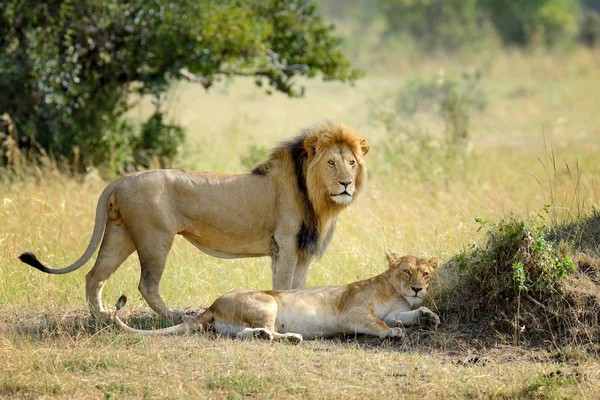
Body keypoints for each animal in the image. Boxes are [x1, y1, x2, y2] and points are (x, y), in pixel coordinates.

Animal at [18, 122, 370, 318]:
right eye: (331, 163)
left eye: (352, 163)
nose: (346, 184)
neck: (316, 197)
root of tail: (123, 179)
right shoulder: (283, 244)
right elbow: (284, 285)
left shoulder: (302, 249)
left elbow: (300, 286)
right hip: (154, 238)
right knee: (146, 284)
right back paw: (172, 316)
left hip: (120, 235)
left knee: (94, 276)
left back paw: (101, 316)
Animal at [113, 253, 440, 340]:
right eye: (407, 272)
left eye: (425, 274)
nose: (418, 289)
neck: (394, 291)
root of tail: (213, 304)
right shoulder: (352, 313)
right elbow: (380, 324)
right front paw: (393, 333)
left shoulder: (396, 310)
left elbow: (404, 316)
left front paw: (428, 316)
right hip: (267, 302)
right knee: (270, 331)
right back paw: (292, 337)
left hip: (234, 324)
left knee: (245, 334)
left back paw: (262, 336)